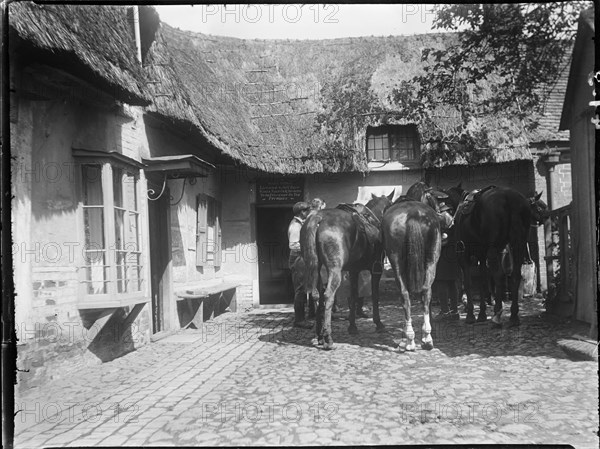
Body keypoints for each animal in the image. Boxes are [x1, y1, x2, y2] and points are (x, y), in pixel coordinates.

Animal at [300, 191, 394, 348]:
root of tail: (318, 218)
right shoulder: (377, 269)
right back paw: (328, 337)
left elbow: (354, 296)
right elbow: (375, 295)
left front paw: (352, 326)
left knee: (317, 295)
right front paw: (378, 323)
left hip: (314, 269)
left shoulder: (353, 271)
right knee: (328, 295)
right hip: (334, 270)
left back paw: (319, 335)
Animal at [384, 182, 450, 350]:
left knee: (404, 294)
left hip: (396, 261)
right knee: (426, 291)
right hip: (432, 258)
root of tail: (413, 214)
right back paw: (426, 338)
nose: (448, 220)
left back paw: (409, 339)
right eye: (435, 200)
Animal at [446, 184, 548, 328]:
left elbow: (469, 283)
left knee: (499, 276)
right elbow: (483, 282)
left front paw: (471, 314)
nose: (547, 217)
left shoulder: (464, 256)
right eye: (539, 207)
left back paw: (497, 315)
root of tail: (509, 198)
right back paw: (513, 316)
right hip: (518, 245)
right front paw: (482, 314)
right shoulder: (482, 257)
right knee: (515, 276)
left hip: (494, 250)